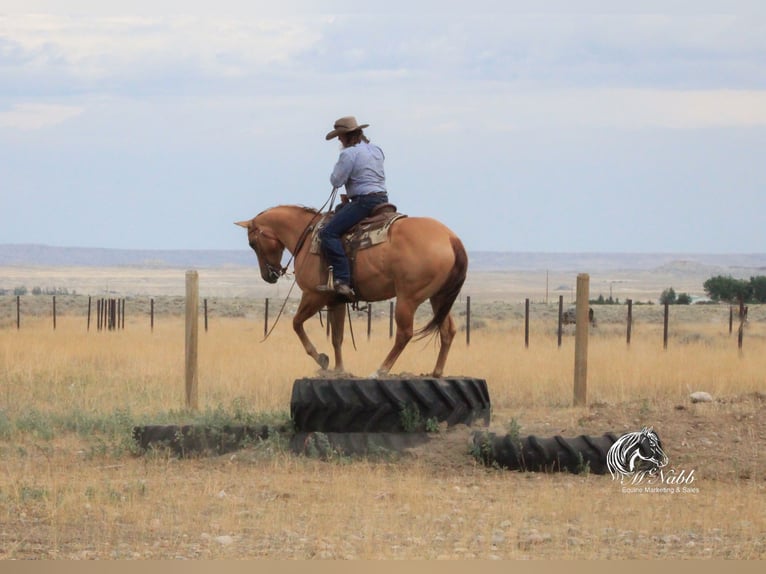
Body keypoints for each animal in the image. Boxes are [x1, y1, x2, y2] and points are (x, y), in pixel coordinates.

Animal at [237, 205, 472, 380]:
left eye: (252, 243)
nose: (268, 276)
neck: (308, 236)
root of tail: (451, 239)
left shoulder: (314, 295)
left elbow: (296, 323)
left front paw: (321, 359)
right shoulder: (336, 301)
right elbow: (337, 337)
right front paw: (339, 369)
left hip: (408, 299)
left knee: (405, 334)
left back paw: (380, 371)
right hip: (439, 298)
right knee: (448, 331)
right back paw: (436, 372)